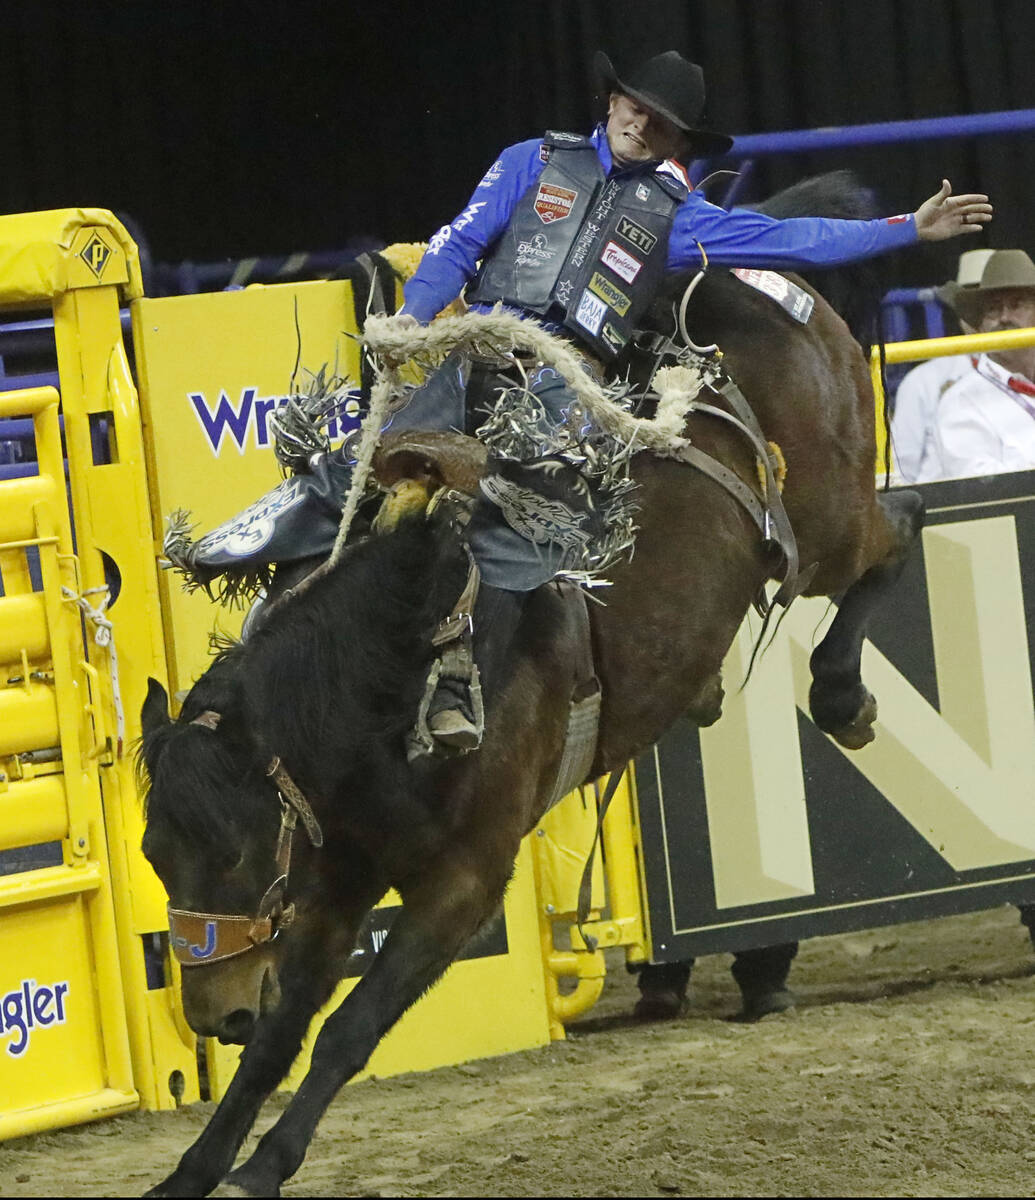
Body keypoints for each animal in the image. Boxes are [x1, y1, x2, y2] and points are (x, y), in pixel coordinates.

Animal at [135, 174, 922, 1195]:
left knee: (900, 525)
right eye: (154, 855)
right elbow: (282, 1038)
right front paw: (193, 1171)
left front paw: (260, 1167)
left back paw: (841, 697)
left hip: (828, 520)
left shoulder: (467, 878)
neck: (390, 673)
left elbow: (349, 1029)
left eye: (231, 853)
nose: (208, 1014)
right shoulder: (334, 876)